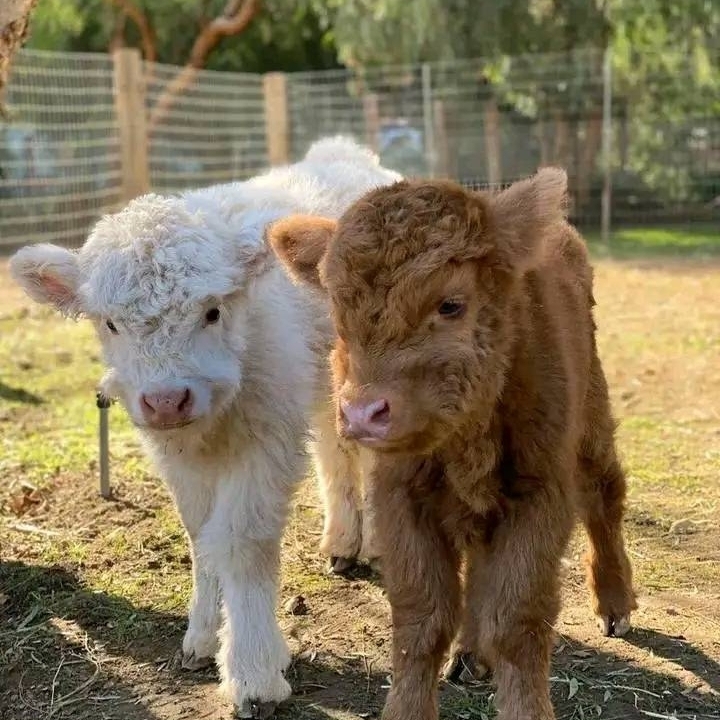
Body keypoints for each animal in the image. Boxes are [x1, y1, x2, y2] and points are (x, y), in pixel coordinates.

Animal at [267, 169, 637, 720]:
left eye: (451, 304)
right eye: (337, 309)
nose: (362, 413)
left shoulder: (540, 494)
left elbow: (517, 618)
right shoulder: (401, 497)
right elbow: (422, 617)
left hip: (591, 423)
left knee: (604, 496)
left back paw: (615, 606)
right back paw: (470, 654)